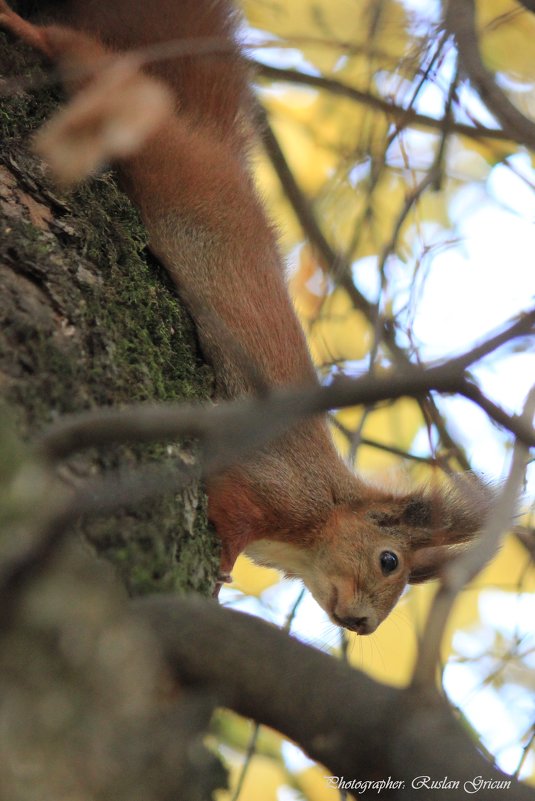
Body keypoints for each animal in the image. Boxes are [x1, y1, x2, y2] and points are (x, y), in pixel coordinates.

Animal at [0, 1, 492, 636]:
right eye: (389, 561)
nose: (363, 626)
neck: (322, 512)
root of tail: (216, 145)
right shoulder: (269, 484)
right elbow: (228, 507)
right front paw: (225, 560)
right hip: (149, 129)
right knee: (91, 59)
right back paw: (22, 26)